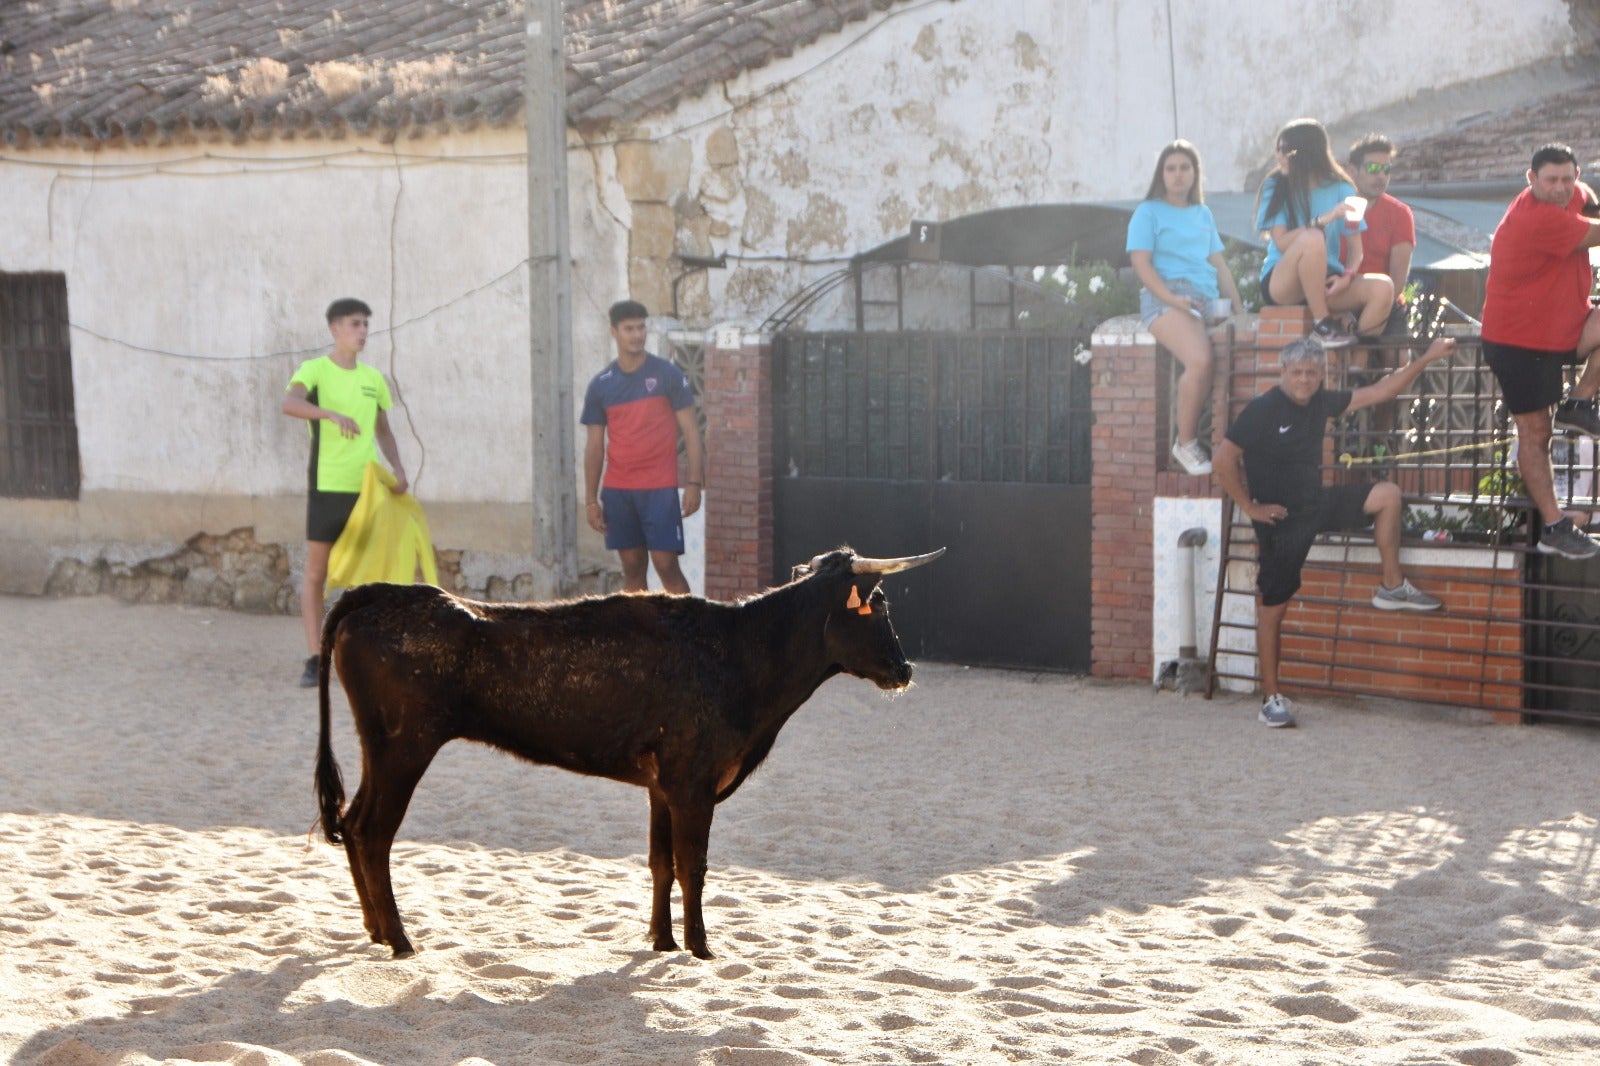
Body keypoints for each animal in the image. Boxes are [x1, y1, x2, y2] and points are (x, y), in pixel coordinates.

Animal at [312, 547, 934, 953]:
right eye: (878, 605)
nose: (905, 670)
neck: (740, 653)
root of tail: (376, 596)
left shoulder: (663, 787)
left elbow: (661, 863)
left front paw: (662, 941)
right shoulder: (693, 785)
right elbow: (693, 865)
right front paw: (701, 947)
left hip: (380, 749)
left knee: (353, 821)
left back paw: (374, 930)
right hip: (405, 749)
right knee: (373, 833)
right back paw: (399, 939)